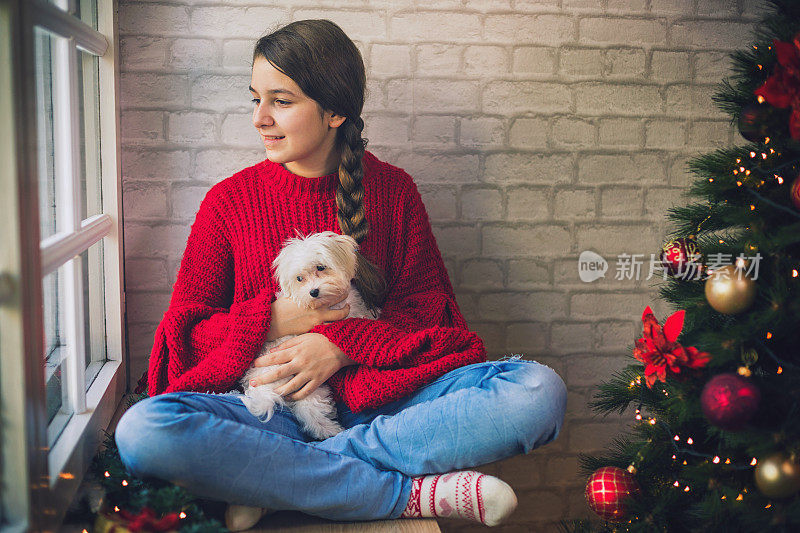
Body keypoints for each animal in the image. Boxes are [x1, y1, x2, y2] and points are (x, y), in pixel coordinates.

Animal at [239, 230, 380, 440]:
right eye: (299, 279)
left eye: (321, 267)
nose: (313, 292)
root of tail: (263, 389)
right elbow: (355, 316)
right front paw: (371, 316)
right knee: (311, 410)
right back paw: (332, 431)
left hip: (306, 386)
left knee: (308, 412)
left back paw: (328, 430)